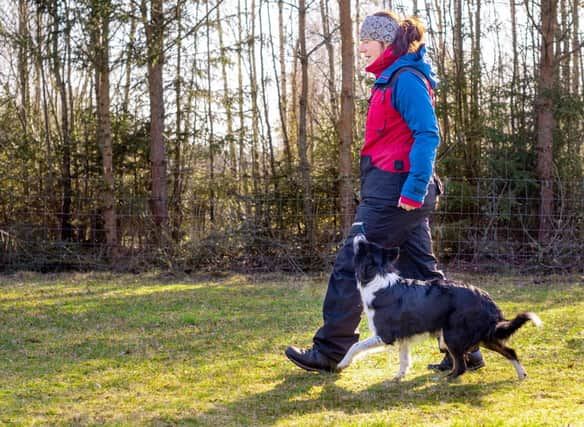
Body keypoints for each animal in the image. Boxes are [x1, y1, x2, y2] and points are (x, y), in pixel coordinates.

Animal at [336, 234, 544, 382]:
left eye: (363, 248)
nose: (360, 233)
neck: (376, 276)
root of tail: (486, 298)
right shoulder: (403, 336)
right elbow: (404, 358)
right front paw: (400, 375)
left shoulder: (385, 335)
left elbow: (355, 346)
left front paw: (342, 363)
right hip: (485, 335)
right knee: (510, 351)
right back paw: (521, 374)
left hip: (452, 335)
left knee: (461, 366)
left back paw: (445, 378)